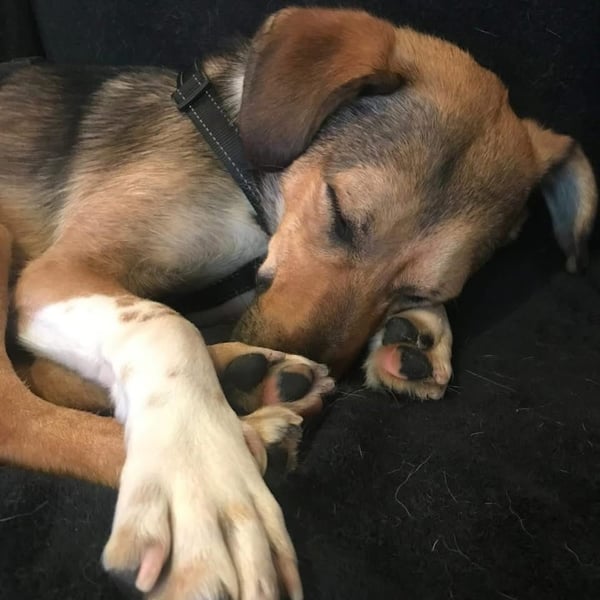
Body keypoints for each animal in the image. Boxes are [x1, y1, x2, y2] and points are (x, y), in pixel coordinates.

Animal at [0, 6, 596, 600]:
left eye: (420, 290)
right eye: (340, 213)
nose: (316, 360)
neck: (246, 179)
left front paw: (418, 332)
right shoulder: (58, 273)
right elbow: (165, 325)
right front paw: (203, 480)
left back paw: (254, 382)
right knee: (22, 414)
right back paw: (250, 436)